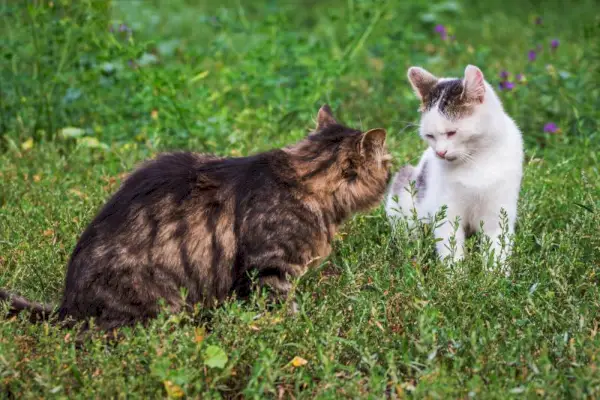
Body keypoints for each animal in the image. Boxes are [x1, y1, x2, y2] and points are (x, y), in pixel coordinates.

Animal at [0, 104, 392, 330]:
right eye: (388, 163)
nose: (394, 170)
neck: (305, 178)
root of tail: (68, 305)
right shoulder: (269, 269)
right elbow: (280, 306)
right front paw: (295, 327)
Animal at [386, 65, 524, 270]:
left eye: (452, 132)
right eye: (430, 136)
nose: (440, 153)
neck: (476, 161)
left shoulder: (499, 214)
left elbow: (498, 249)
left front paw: (495, 275)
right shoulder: (447, 212)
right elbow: (450, 248)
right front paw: (455, 275)